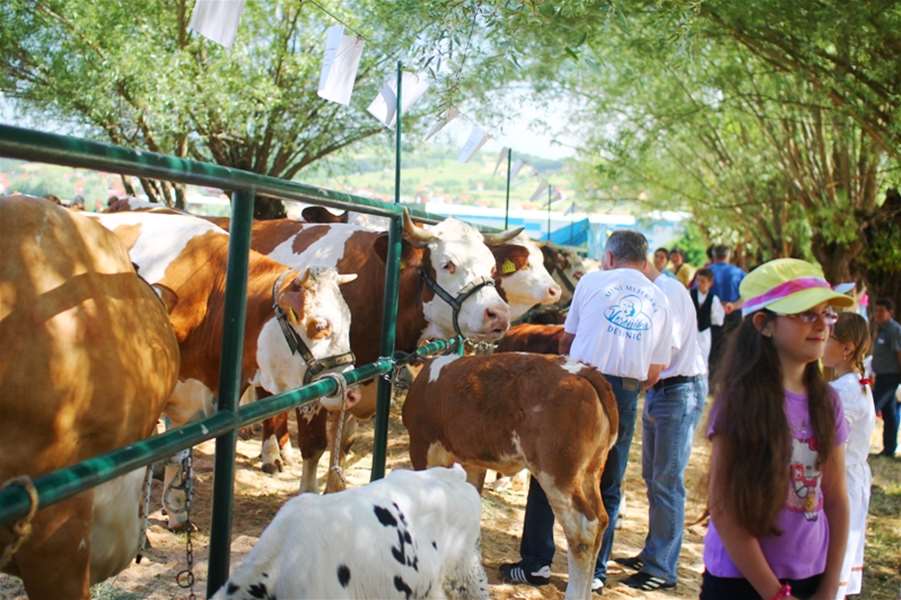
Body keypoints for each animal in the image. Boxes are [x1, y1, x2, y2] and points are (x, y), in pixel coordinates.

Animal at [246, 209, 516, 490]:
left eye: (492, 268)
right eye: (448, 265)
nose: (499, 314)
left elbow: (343, 443)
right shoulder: (314, 381)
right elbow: (314, 445)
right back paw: (270, 454)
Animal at [404, 354, 616, 596]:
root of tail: (583, 371)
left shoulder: (422, 446)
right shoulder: (472, 462)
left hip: (557, 474)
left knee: (583, 531)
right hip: (590, 472)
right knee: (602, 520)